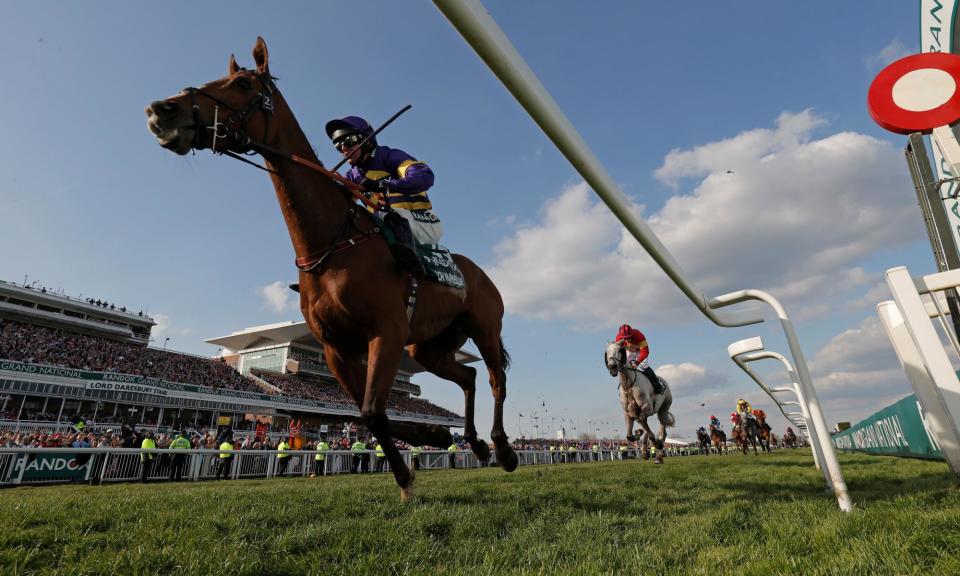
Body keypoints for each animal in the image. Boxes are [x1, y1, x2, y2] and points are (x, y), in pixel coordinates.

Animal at [144, 38, 516, 502]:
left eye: (244, 84)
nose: (162, 109)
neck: (330, 245)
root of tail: (480, 273)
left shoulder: (386, 331)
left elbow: (373, 410)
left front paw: (417, 462)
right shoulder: (336, 346)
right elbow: (366, 413)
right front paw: (428, 443)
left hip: (484, 327)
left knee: (495, 379)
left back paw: (503, 449)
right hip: (427, 346)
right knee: (467, 376)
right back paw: (476, 443)